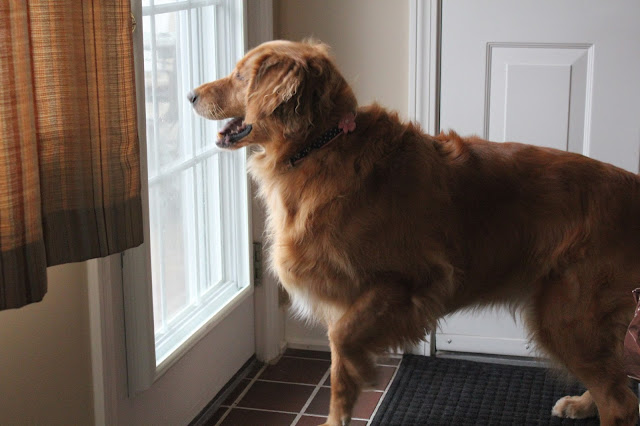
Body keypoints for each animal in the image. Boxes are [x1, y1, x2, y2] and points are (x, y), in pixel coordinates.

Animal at [188, 40, 640, 426]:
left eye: (241, 75)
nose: (191, 95)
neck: (320, 146)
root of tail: (631, 185)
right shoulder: (349, 299)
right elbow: (338, 369)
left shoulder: (415, 279)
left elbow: (341, 342)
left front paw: (361, 372)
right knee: (618, 380)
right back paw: (583, 402)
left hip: (568, 314)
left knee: (620, 400)